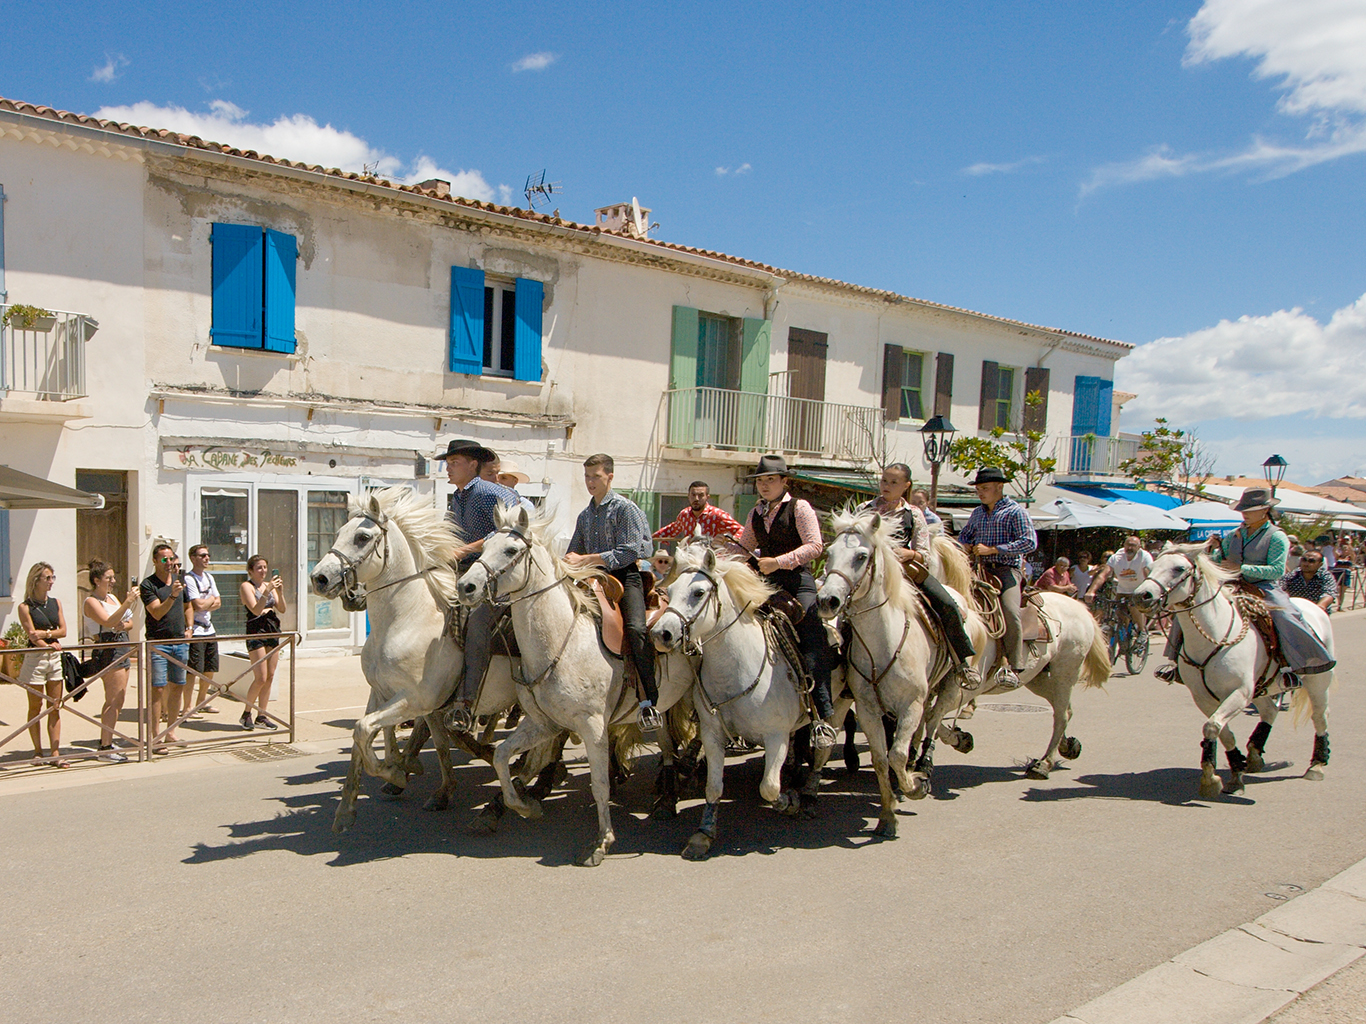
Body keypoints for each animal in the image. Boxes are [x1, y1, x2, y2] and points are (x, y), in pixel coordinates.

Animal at [312, 488, 519, 835]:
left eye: (362, 537)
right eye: (338, 532)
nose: (320, 578)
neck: (406, 621)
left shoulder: (416, 699)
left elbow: (364, 730)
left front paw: (395, 772)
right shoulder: (382, 693)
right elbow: (367, 738)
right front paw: (347, 809)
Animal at [458, 505, 693, 868]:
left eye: (510, 550)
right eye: (483, 548)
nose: (466, 586)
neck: (561, 642)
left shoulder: (592, 726)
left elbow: (598, 785)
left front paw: (601, 842)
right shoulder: (543, 723)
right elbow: (501, 756)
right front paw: (525, 806)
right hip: (665, 705)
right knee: (667, 744)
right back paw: (667, 797)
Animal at [650, 548, 830, 862]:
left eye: (698, 592)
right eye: (668, 592)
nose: (662, 634)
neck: (736, 668)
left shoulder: (775, 736)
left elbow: (769, 788)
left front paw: (790, 801)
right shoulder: (712, 734)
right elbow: (713, 786)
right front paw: (703, 835)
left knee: (823, 748)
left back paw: (808, 796)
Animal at [808, 507, 983, 835]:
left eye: (861, 556)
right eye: (830, 552)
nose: (827, 601)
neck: (883, 643)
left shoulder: (910, 704)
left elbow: (897, 755)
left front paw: (915, 787)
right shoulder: (868, 709)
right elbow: (881, 758)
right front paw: (888, 814)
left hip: (951, 684)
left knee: (933, 720)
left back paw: (924, 765)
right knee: (922, 727)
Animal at [1131, 546, 1333, 802]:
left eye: (1179, 568)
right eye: (1150, 567)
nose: (1142, 596)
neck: (1214, 634)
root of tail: (1315, 607)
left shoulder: (1240, 692)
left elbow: (1211, 727)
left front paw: (1210, 779)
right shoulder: (1204, 698)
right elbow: (1221, 731)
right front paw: (1234, 774)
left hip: (1318, 682)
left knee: (1320, 716)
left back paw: (1316, 765)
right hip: (1262, 688)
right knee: (1270, 710)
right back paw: (1255, 755)